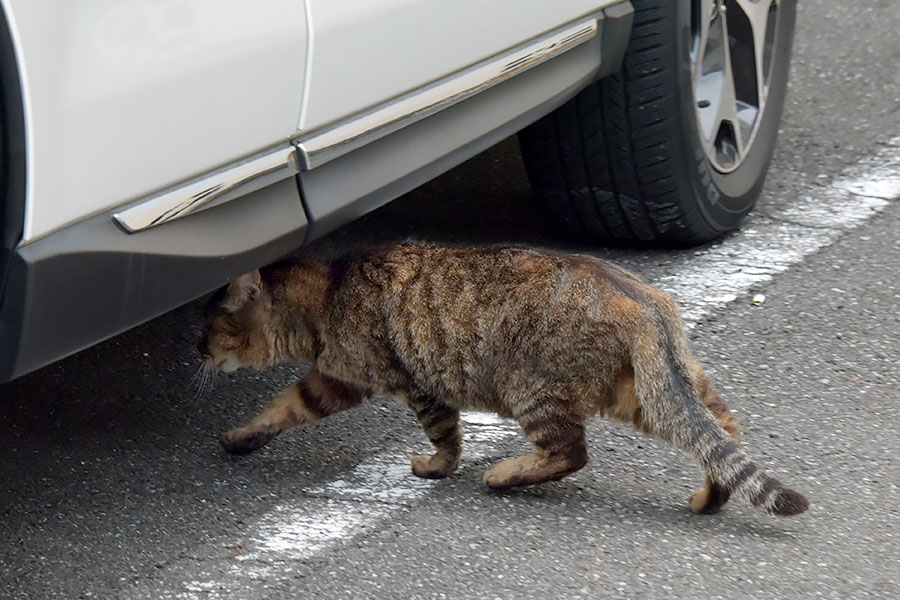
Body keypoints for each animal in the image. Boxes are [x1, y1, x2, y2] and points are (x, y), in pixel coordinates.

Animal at [202, 243, 808, 516]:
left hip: (535, 389)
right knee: (722, 431)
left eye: (209, 328)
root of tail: (645, 302)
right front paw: (241, 437)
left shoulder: (410, 385)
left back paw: (504, 475)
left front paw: (438, 467)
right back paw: (710, 496)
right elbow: (283, 407)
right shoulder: (330, 381)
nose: (194, 350)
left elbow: (445, 435)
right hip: (644, 393)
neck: (328, 292)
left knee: (570, 453)